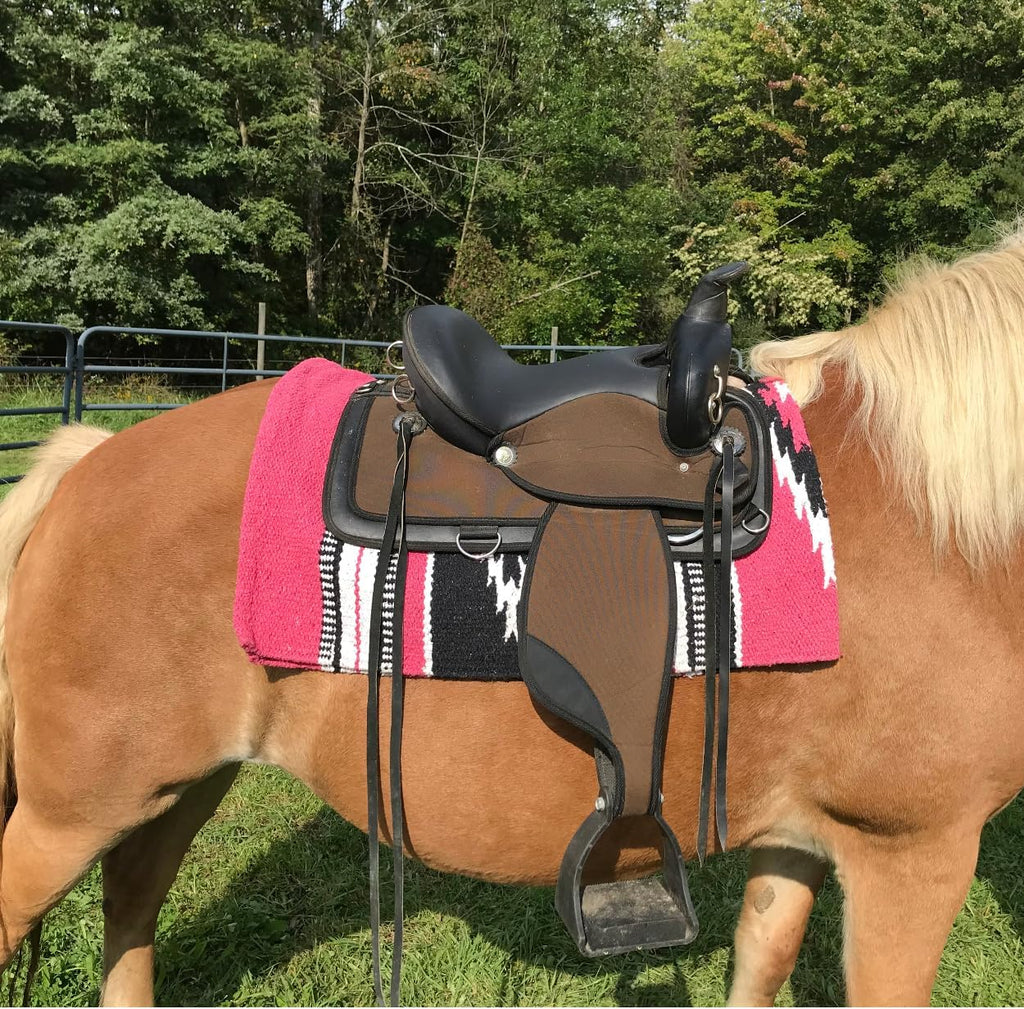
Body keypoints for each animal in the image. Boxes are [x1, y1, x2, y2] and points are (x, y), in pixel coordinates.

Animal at [0, 227, 1023, 1007]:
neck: (943, 520)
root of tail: (83, 462)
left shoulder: (806, 837)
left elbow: (759, 964)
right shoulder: (913, 854)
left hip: (176, 785)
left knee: (132, 905)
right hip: (73, 808)